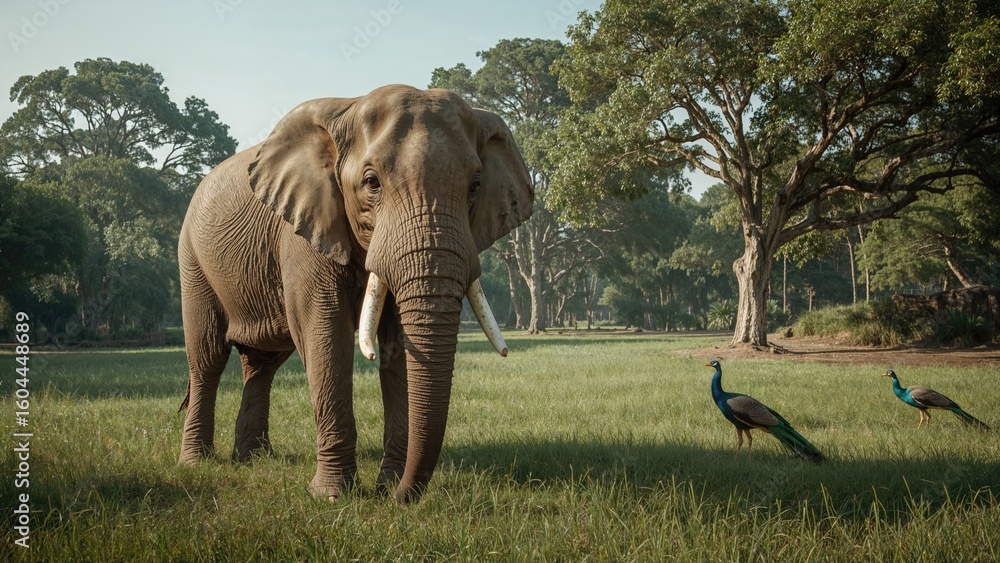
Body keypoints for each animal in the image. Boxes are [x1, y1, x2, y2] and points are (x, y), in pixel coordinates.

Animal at [177, 84, 533, 503]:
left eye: (475, 185)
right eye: (372, 182)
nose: (399, 499)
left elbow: (398, 344)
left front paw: (387, 484)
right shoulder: (303, 233)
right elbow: (324, 333)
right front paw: (331, 496)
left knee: (261, 364)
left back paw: (253, 459)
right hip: (192, 259)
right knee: (208, 357)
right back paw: (195, 464)